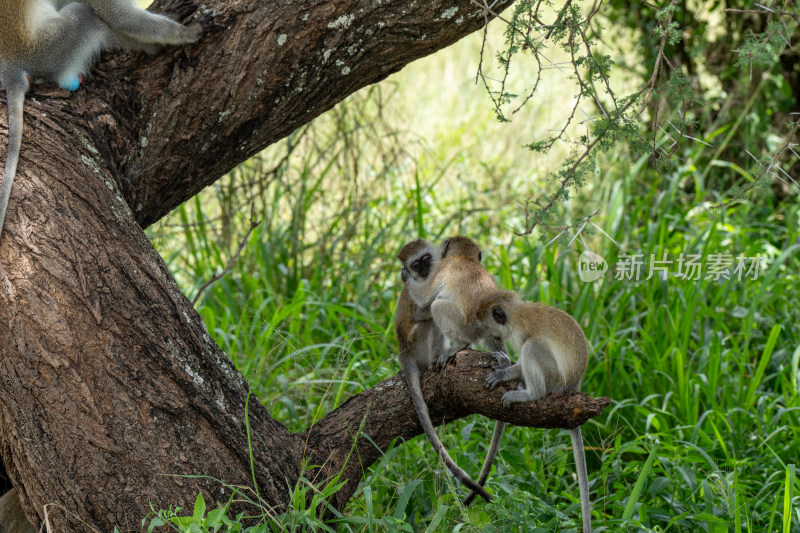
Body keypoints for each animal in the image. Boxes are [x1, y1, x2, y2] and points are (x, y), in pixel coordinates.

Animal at [2, 0, 203, 239]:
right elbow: (119, 17)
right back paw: (153, 47)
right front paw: (184, 33)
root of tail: (11, 69)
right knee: (87, 15)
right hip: (49, 52)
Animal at [404, 236, 510, 502]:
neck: (465, 258)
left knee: (437, 307)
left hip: (463, 325)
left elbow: (424, 298)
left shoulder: (442, 268)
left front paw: (406, 278)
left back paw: (460, 346)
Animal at [478, 290, 592, 532]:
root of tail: (573, 386)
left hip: (554, 379)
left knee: (533, 347)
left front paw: (505, 373)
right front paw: (504, 362)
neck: (515, 314)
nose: (488, 338)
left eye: (485, 326)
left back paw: (530, 393)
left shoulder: (521, 333)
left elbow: (523, 357)